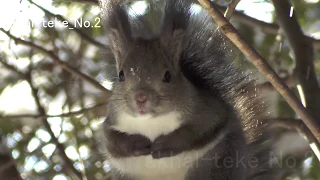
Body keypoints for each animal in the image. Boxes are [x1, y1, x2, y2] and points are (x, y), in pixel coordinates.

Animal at [98, 0, 278, 179]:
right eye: (121, 75)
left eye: (168, 76)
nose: (141, 97)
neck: (150, 122)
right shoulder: (113, 120)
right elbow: (109, 139)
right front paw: (135, 143)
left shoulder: (207, 111)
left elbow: (198, 129)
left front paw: (166, 144)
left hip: (217, 163)